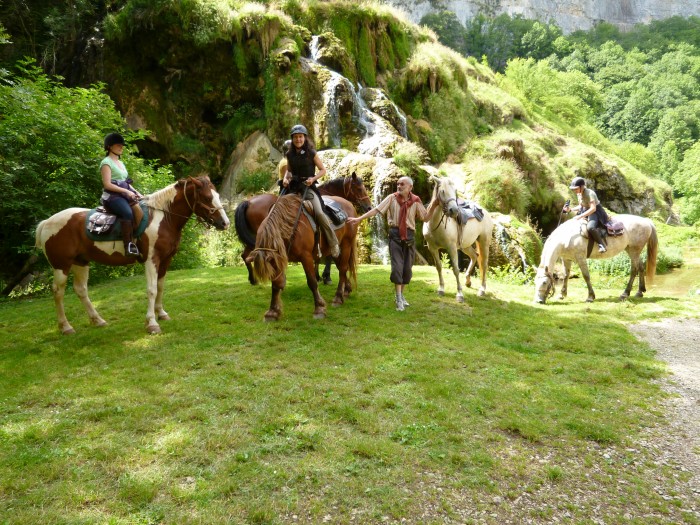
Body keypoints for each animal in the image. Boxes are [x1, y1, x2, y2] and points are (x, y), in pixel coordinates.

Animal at [36, 175, 230, 332]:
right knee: (58, 292)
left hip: (80, 262)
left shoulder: (166, 260)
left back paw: (97, 320)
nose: (225, 223)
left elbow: (160, 287)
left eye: (217, 196)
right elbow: (152, 289)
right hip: (61, 265)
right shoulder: (152, 260)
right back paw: (66, 327)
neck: (163, 218)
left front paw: (161, 313)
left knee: (81, 290)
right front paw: (152, 323)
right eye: (207, 197)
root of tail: (46, 223)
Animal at [234, 172, 372, 284]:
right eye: (359, 188)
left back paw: (253, 279)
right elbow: (327, 256)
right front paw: (325, 276)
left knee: (245, 255)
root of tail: (248, 202)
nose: (369, 207)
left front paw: (318, 276)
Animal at [532, 213, 660, 302]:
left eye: (544, 282)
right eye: (535, 282)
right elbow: (566, 275)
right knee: (641, 267)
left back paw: (625, 293)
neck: (567, 237)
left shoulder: (581, 258)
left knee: (634, 270)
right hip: (632, 251)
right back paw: (640, 291)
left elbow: (586, 276)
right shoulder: (566, 258)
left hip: (634, 251)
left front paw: (590, 297)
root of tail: (646, 221)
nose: (538, 301)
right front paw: (562, 294)